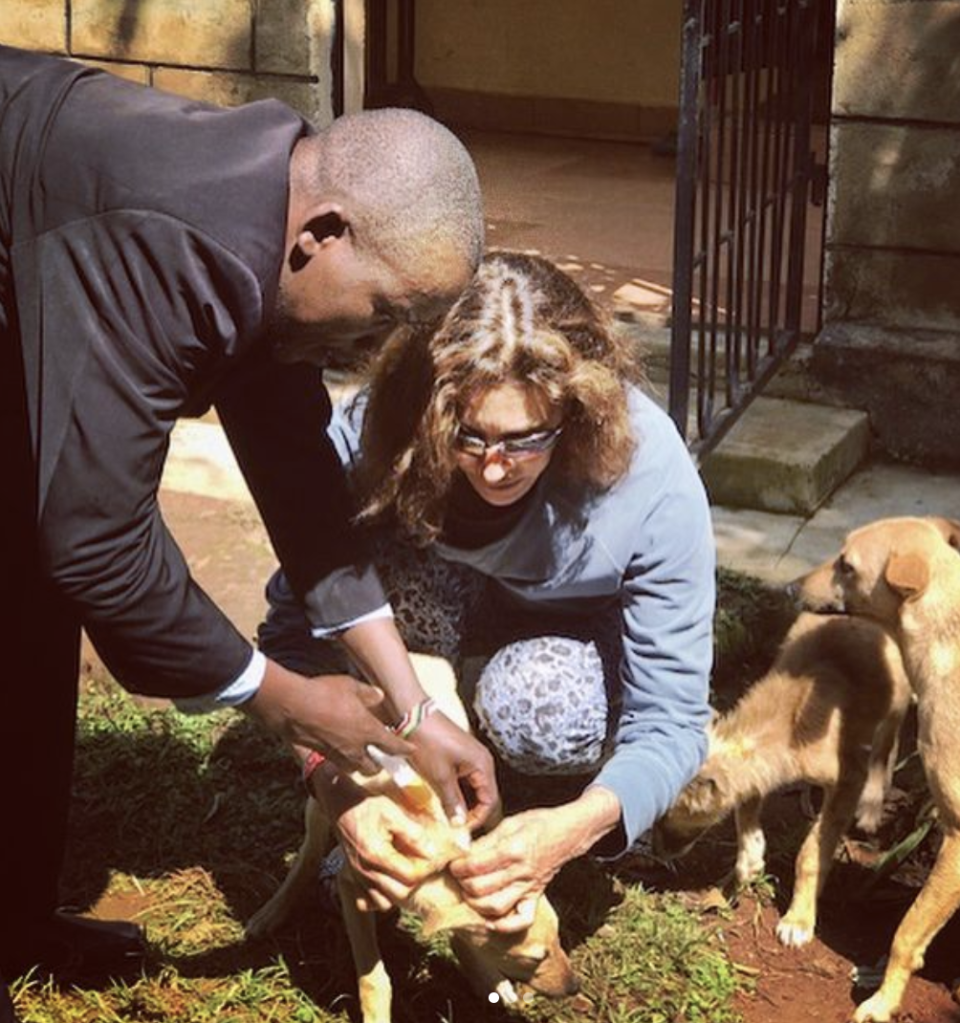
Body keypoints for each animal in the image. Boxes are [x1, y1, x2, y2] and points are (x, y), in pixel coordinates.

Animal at [246, 654, 577, 1023]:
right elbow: (373, 978)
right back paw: (273, 911)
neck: (441, 863)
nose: (574, 988)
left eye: (560, 937)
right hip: (320, 803)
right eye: (534, 958)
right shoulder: (353, 886)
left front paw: (487, 979)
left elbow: (462, 936)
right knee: (308, 854)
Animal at [650, 605, 904, 949]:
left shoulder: (848, 779)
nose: (655, 854)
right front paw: (742, 873)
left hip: (899, 700)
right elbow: (748, 833)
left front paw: (799, 920)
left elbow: (811, 854)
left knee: (889, 739)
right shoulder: (756, 779)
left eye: (664, 817)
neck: (786, 727)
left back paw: (874, 800)